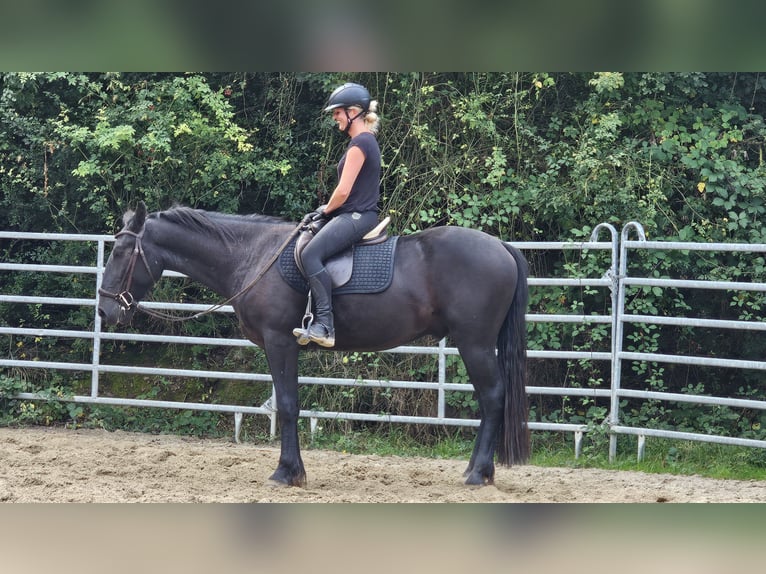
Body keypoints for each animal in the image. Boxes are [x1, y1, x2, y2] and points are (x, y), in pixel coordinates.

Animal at [97, 205, 536, 488]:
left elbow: (289, 406)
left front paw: (286, 473)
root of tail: (501, 247)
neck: (253, 256)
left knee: (493, 398)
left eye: (119, 251)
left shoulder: (279, 343)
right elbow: (285, 404)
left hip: (474, 344)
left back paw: (478, 474)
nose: (104, 309)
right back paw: (480, 471)